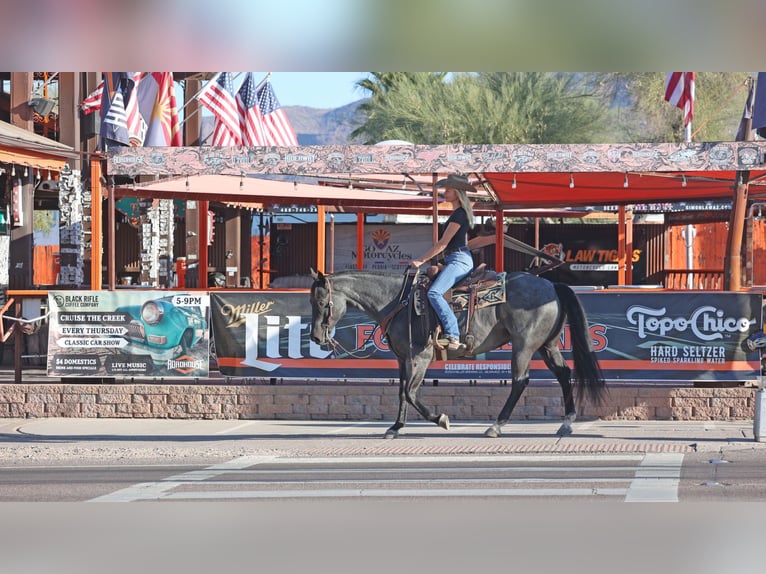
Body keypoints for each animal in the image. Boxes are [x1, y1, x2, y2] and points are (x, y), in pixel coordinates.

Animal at [308, 270, 608, 440]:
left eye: (321, 301)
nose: (316, 338)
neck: (397, 300)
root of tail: (551, 286)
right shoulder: (403, 358)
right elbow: (402, 392)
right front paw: (395, 427)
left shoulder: (420, 357)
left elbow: (411, 393)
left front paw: (441, 419)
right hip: (547, 345)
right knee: (564, 374)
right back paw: (566, 423)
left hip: (524, 345)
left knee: (520, 381)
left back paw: (496, 426)